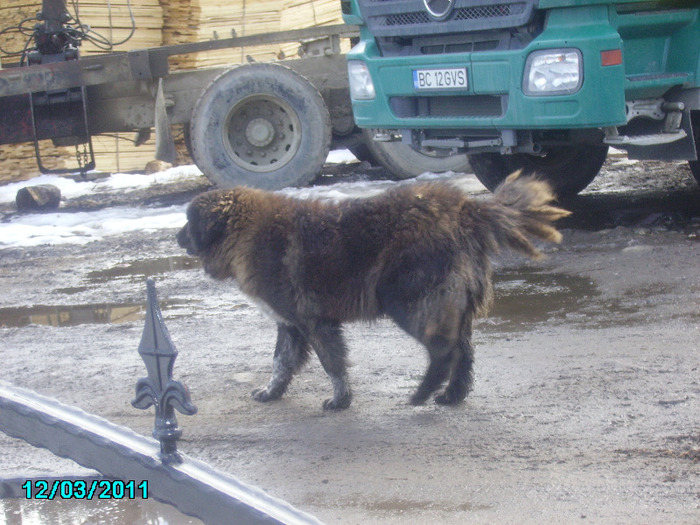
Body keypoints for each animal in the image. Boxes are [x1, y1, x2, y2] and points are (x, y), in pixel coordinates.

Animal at [178, 174, 572, 412]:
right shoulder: (290, 325)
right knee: (464, 355)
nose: (178, 237)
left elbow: (332, 364)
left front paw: (340, 401)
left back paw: (421, 394)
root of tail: (464, 208)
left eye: (188, 222)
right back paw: (450, 396)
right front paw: (271, 392)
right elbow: (281, 362)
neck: (243, 233)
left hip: (410, 302)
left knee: (444, 353)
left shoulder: (313, 321)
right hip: (448, 307)